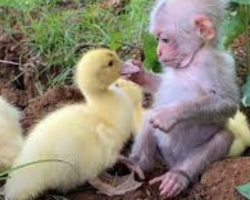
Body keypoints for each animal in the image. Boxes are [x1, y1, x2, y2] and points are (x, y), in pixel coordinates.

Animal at [124, 0, 239, 198]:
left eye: (164, 40)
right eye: (157, 39)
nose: (158, 52)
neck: (191, 60)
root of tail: (172, 162)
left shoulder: (211, 63)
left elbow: (227, 103)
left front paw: (170, 113)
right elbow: (160, 86)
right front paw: (138, 74)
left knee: (224, 137)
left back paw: (178, 176)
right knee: (148, 119)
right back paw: (136, 164)